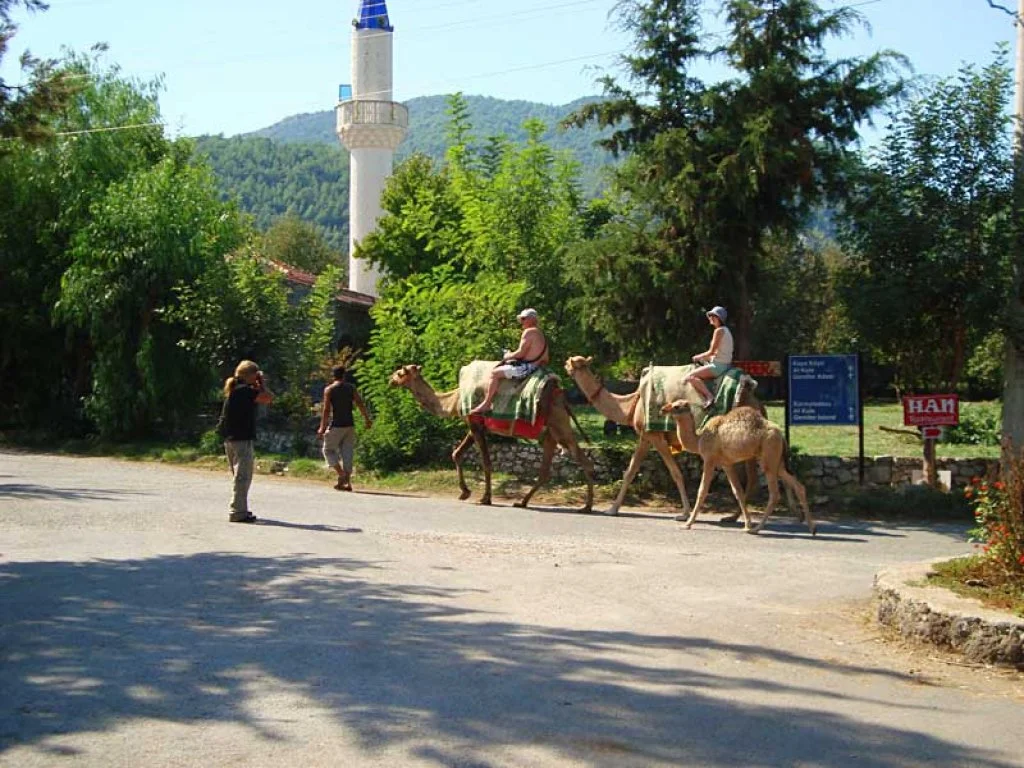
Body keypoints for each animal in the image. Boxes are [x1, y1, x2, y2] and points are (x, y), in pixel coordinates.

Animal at [389, 364, 595, 512]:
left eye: (400, 373)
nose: (390, 380)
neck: (454, 401)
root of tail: (560, 396)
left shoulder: (475, 423)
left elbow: (486, 462)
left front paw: (484, 498)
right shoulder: (475, 425)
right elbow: (457, 453)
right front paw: (465, 493)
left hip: (559, 425)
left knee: (583, 460)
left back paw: (586, 506)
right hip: (550, 433)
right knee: (546, 471)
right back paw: (523, 502)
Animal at [563, 356, 764, 517]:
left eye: (570, 362)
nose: (564, 366)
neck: (630, 405)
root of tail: (756, 401)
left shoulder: (655, 435)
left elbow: (675, 473)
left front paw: (684, 513)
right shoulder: (645, 436)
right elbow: (630, 471)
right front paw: (612, 509)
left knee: (749, 477)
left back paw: (734, 517)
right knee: (749, 477)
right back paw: (733, 517)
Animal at [660, 401, 815, 535]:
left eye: (676, 406)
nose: (663, 409)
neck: (699, 440)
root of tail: (781, 436)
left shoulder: (709, 459)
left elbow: (702, 491)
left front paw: (687, 524)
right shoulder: (726, 464)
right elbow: (738, 491)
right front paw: (747, 524)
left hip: (769, 456)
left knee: (774, 493)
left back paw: (757, 529)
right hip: (777, 462)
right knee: (798, 486)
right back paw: (812, 529)